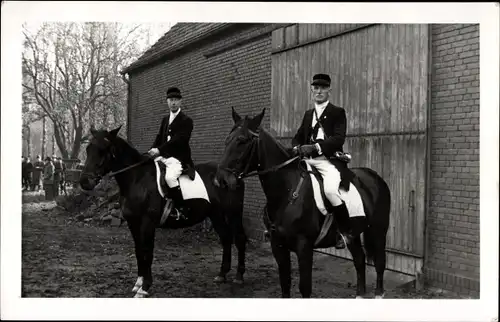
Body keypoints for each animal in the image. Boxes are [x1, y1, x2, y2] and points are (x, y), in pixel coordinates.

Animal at [79, 126, 248, 296]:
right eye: (88, 148)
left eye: (103, 149)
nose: (85, 182)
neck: (137, 179)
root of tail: (232, 175)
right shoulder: (133, 223)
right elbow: (138, 250)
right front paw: (138, 283)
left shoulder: (147, 222)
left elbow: (147, 251)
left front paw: (145, 288)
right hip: (216, 215)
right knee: (226, 238)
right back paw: (222, 274)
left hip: (233, 213)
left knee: (239, 239)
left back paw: (239, 277)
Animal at [217, 108, 392, 300]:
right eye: (227, 140)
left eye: (242, 140)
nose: (220, 180)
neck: (287, 192)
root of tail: (375, 177)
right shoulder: (278, 246)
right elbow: (285, 284)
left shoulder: (304, 248)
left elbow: (305, 288)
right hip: (352, 234)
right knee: (359, 260)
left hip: (378, 230)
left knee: (380, 262)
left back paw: (378, 294)